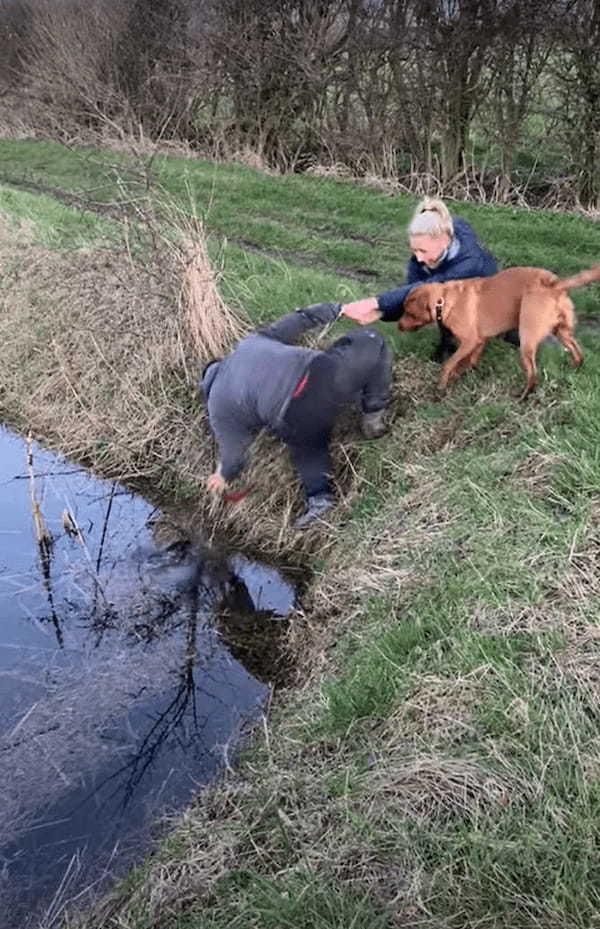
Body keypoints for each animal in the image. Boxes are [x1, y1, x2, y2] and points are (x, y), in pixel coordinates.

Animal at [398, 266, 600, 400]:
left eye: (410, 314)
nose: (398, 326)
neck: (445, 300)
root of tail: (553, 284)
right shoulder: (479, 341)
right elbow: (469, 361)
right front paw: (461, 373)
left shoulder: (469, 341)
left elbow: (449, 364)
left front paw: (442, 385)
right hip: (562, 332)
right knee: (577, 351)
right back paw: (574, 368)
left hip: (527, 338)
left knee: (533, 375)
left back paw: (522, 396)